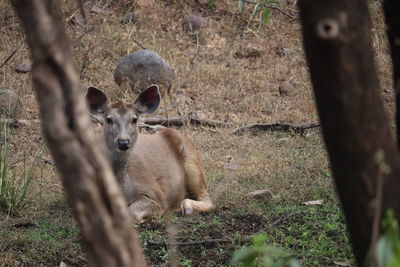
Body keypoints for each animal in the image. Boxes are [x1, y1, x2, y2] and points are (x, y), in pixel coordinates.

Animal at [86, 84, 214, 224]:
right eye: (109, 119)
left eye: (134, 119)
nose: (123, 142)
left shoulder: (155, 195)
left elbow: (132, 213)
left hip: (192, 161)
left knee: (207, 199)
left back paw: (185, 208)